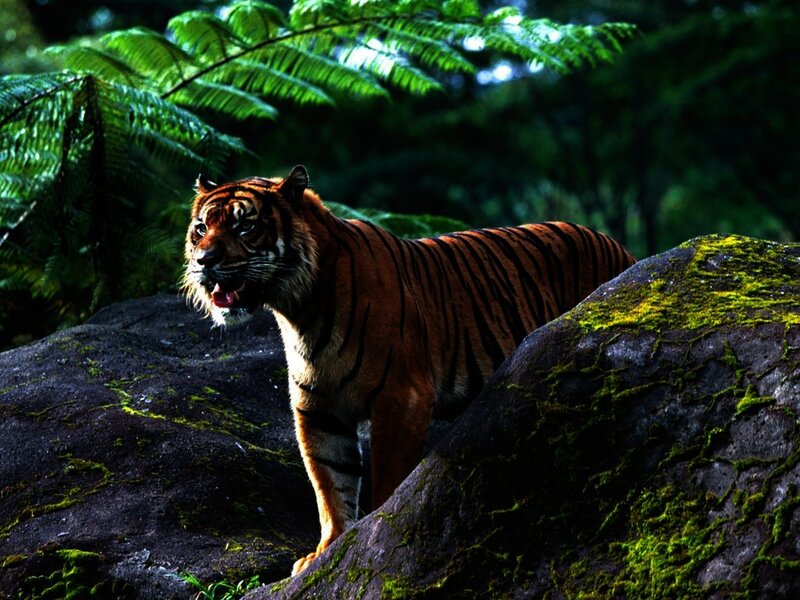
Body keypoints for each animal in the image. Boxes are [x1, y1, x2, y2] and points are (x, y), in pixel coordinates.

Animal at [183, 165, 635, 575]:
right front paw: (326, 550)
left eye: (245, 227)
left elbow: (386, 477)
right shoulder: (318, 409)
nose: (204, 261)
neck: (299, 309)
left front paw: (369, 536)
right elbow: (329, 483)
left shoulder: (402, 397)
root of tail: (622, 249)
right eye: (201, 228)